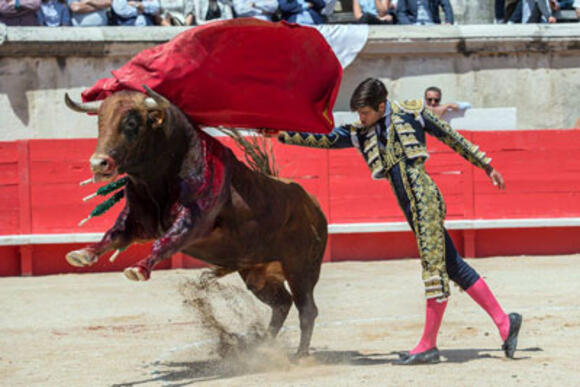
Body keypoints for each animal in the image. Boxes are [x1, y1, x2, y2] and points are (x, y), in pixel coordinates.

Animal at [64, 88, 326, 358]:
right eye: (100, 121)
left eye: (131, 123)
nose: (98, 163)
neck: (157, 179)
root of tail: (313, 204)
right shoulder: (138, 222)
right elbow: (114, 234)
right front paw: (83, 254)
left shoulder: (193, 222)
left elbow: (167, 240)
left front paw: (138, 269)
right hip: (258, 273)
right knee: (282, 303)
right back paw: (264, 347)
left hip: (300, 267)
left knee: (306, 308)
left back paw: (299, 356)